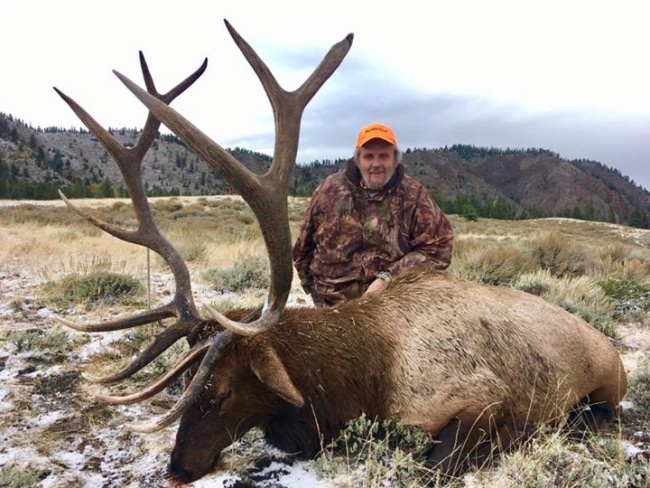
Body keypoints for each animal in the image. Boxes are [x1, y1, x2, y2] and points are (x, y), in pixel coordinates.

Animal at [55, 19, 628, 484]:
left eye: (220, 392)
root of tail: (611, 347)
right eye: (184, 391)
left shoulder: (480, 401)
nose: (177, 466)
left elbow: (437, 462)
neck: (363, 381)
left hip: (608, 384)